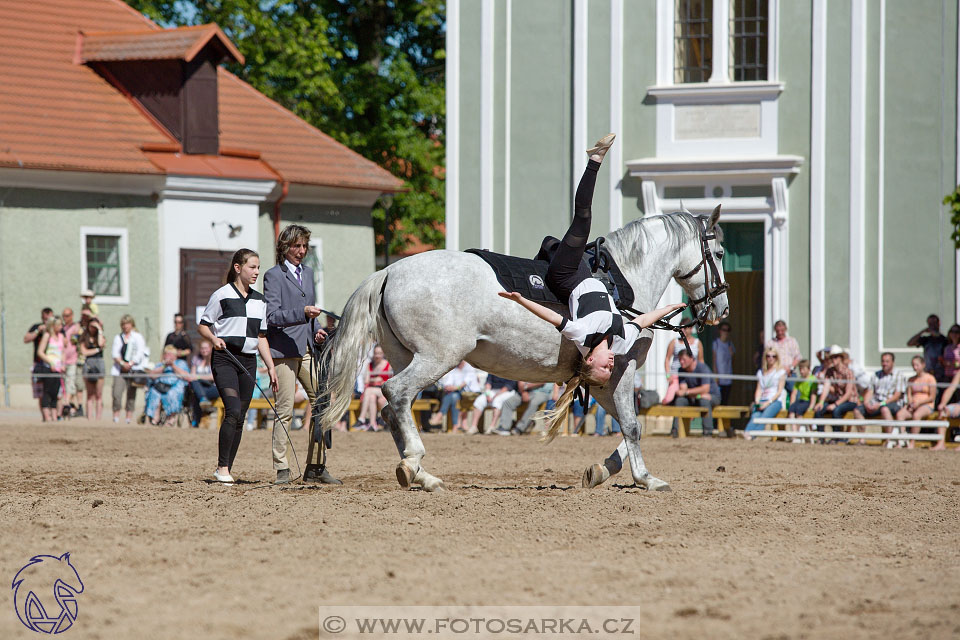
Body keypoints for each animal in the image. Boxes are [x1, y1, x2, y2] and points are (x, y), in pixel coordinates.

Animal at [318, 205, 732, 490]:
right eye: (720, 254)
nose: (721, 308)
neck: (622, 281)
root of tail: (388, 271)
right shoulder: (620, 369)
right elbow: (631, 425)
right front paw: (646, 478)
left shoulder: (600, 378)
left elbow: (627, 426)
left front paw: (601, 471)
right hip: (437, 358)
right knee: (396, 394)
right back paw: (415, 462)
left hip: (408, 357)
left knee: (391, 411)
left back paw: (421, 474)